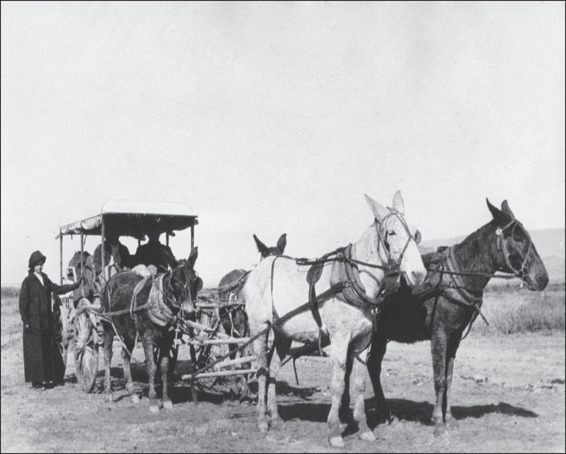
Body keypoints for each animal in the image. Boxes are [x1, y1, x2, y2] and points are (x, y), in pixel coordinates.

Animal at [100, 247, 204, 414]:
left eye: (195, 281)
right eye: (175, 281)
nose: (189, 312)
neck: (158, 302)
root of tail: (113, 277)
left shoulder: (167, 339)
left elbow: (164, 366)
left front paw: (166, 400)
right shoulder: (147, 337)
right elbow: (151, 366)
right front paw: (154, 402)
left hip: (129, 334)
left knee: (125, 356)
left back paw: (132, 393)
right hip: (108, 327)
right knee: (107, 356)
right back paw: (109, 393)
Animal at [217, 234, 288, 400]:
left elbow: (265, 361)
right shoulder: (245, 332)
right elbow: (246, 362)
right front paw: (245, 392)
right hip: (230, 329)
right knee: (233, 354)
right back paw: (235, 387)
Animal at [242, 192, 428, 446]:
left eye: (416, 232)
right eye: (391, 232)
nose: (418, 274)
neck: (355, 279)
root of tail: (259, 267)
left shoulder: (362, 342)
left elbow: (358, 384)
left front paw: (364, 428)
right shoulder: (340, 339)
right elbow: (339, 384)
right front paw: (334, 431)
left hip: (283, 333)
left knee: (272, 369)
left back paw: (276, 418)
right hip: (259, 328)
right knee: (261, 370)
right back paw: (262, 420)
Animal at [364, 199, 552, 436]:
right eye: (518, 238)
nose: (542, 278)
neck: (454, 278)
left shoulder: (454, 338)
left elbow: (449, 377)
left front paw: (450, 419)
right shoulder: (439, 335)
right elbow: (439, 378)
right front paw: (438, 422)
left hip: (381, 336)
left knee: (373, 365)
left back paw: (386, 412)